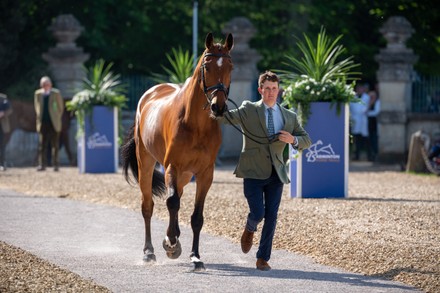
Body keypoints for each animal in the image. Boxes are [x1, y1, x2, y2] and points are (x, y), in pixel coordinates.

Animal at [120, 33, 234, 270]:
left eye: (231, 67)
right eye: (207, 66)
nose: (218, 107)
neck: (196, 124)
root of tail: (148, 95)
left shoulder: (205, 174)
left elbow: (197, 216)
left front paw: (195, 256)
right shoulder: (172, 166)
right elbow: (171, 202)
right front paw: (171, 243)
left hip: (185, 175)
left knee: (177, 197)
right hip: (146, 164)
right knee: (148, 205)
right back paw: (149, 251)